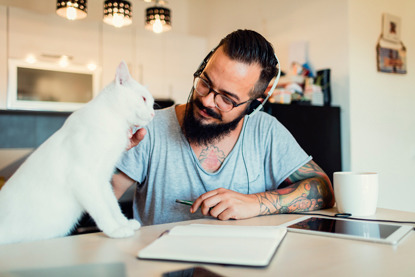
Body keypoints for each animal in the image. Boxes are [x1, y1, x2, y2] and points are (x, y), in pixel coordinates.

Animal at [0, 61, 155, 244]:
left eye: (152, 103)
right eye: (143, 99)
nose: (153, 113)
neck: (114, 123)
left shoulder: (102, 179)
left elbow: (112, 205)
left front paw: (124, 223)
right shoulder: (82, 177)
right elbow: (101, 209)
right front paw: (115, 230)